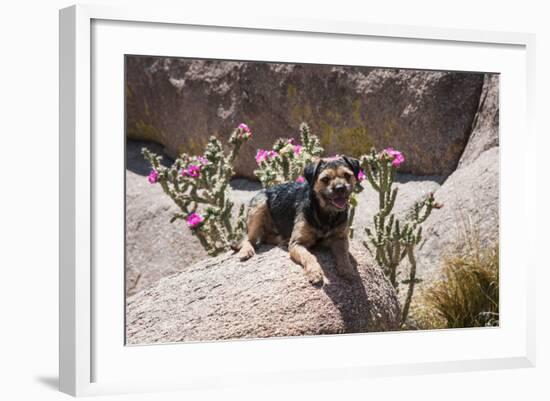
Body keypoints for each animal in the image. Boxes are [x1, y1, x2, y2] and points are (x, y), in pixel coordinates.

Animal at [238, 156, 362, 284]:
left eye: (347, 175)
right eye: (325, 179)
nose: (340, 188)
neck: (326, 213)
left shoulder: (340, 239)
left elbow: (343, 255)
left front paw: (347, 270)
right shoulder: (297, 244)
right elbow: (309, 256)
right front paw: (314, 272)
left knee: (266, 236)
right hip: (258, 207)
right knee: (248, 238)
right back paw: (246, 251)